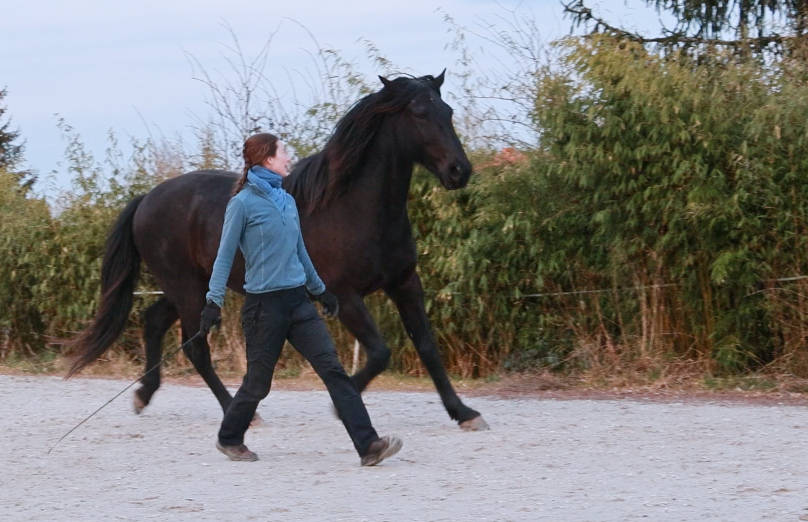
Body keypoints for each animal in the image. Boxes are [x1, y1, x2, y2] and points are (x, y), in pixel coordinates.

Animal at [67, 72, 489, 431]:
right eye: (419, 113)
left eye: (447, 111)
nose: (459, 171)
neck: (352, 205)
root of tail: (146, 199)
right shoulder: (345, 296)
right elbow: (380, 353)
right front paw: (339, 405)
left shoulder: (404, 283)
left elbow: (427, 347)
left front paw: (464, 412)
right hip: (186, 288)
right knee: (196, 348)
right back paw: (238, 412)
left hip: (190, 288)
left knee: (154, 322)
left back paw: (144, 394)